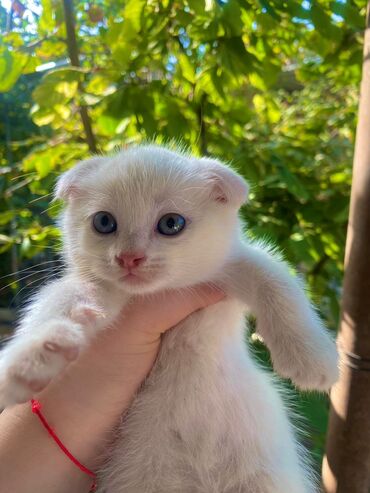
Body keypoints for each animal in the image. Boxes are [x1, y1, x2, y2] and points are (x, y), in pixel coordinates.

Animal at [0, 144, 338, 490]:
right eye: (104, 222)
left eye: (171, 223)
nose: (129, 258)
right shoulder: (98, 289)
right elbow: (58, 301)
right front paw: (32, 357)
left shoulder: (231, 265)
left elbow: (276, 280)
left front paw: (312, 358)